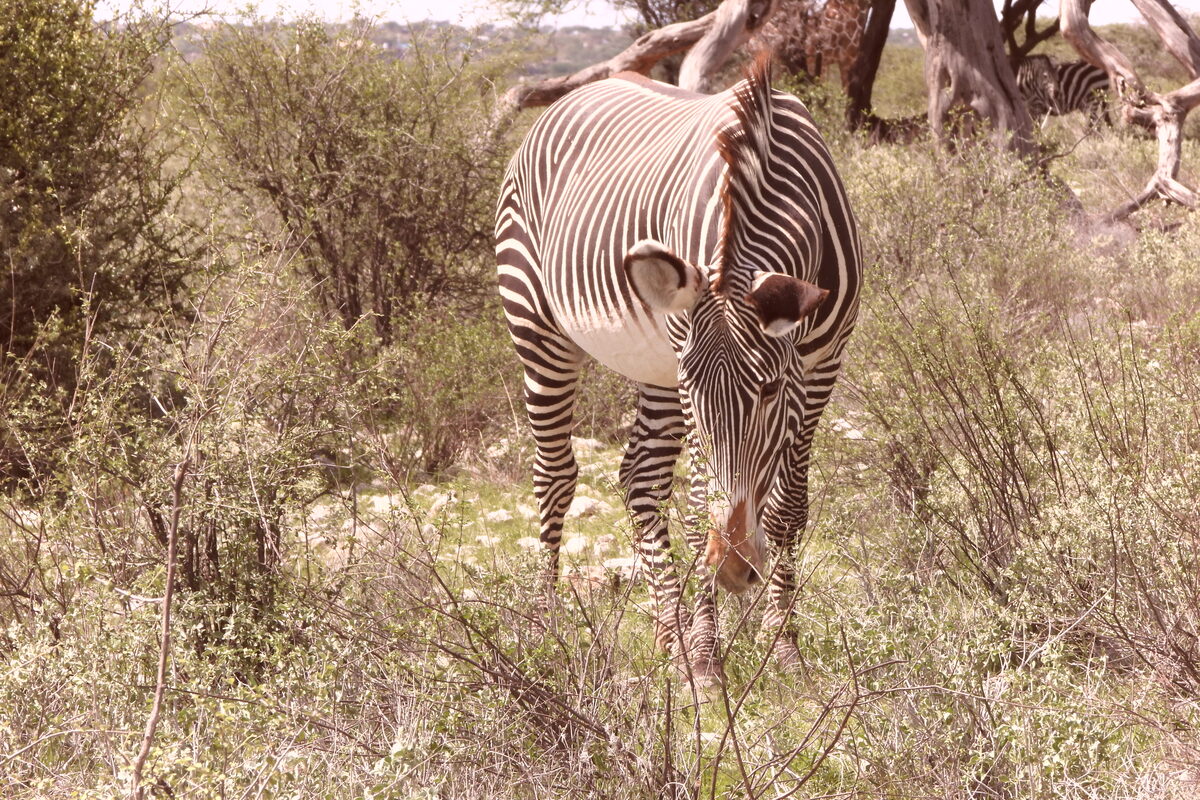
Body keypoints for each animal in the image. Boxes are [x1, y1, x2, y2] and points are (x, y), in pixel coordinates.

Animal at [495, 57, 861, 685]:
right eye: (697, 393)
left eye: (770, 390)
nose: (732, 569)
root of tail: (583, 89)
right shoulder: (684, 367)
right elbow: (695, 509)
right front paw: (710, 656)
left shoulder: (822, 365)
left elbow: (786, 508)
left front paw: (782, 646)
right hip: (538, 327)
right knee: (554, 476)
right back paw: (549, 627)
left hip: (653, 365)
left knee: (639, 477)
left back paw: (671, 636)